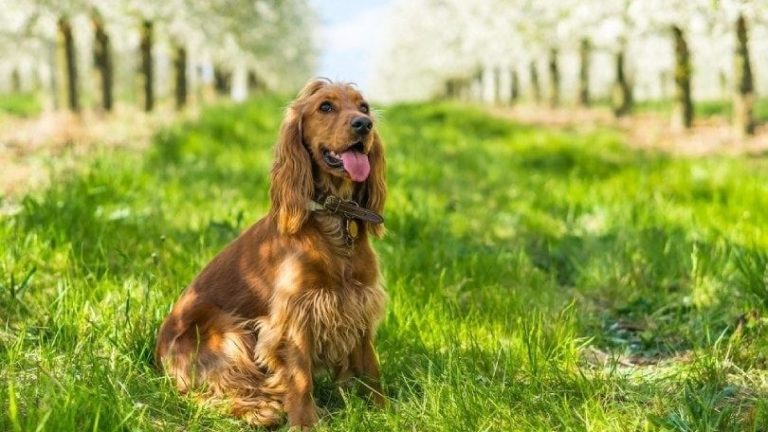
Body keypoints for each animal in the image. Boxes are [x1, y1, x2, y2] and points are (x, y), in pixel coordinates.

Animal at [154, 78, 388, 428]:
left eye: (364, 107)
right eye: (325, 107)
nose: (364, 125)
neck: (334, 220)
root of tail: (157, 356)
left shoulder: (358, 302)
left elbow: (370, 367)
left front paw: (386, 411)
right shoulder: (296, 313)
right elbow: (300, 377)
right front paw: (305, 423)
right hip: (226, 332)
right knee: (213, 393)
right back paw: (262, 410)